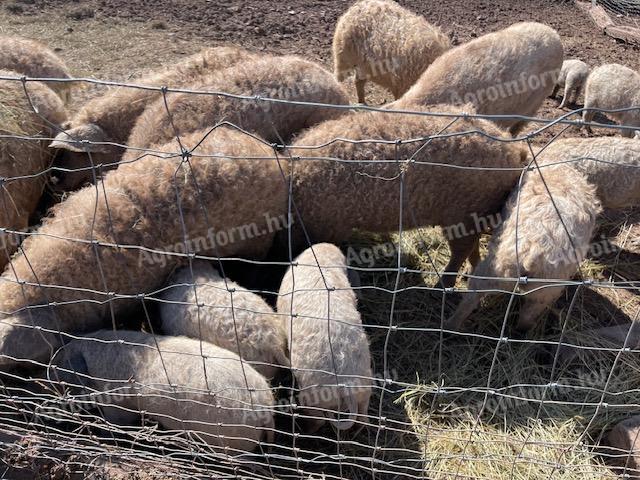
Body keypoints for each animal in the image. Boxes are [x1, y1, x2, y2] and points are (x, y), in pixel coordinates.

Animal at [52, 332, 276, 452]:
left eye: (63, 361)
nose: (49, 367)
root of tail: (266, 409)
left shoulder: (118, 406)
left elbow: (117, 422)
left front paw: (105, 435)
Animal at [278, 244, 372, 432]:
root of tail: (345, 384)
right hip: (366, 385)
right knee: (363, 413)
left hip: (312, 396)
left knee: (319, 420)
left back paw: (307, 430)